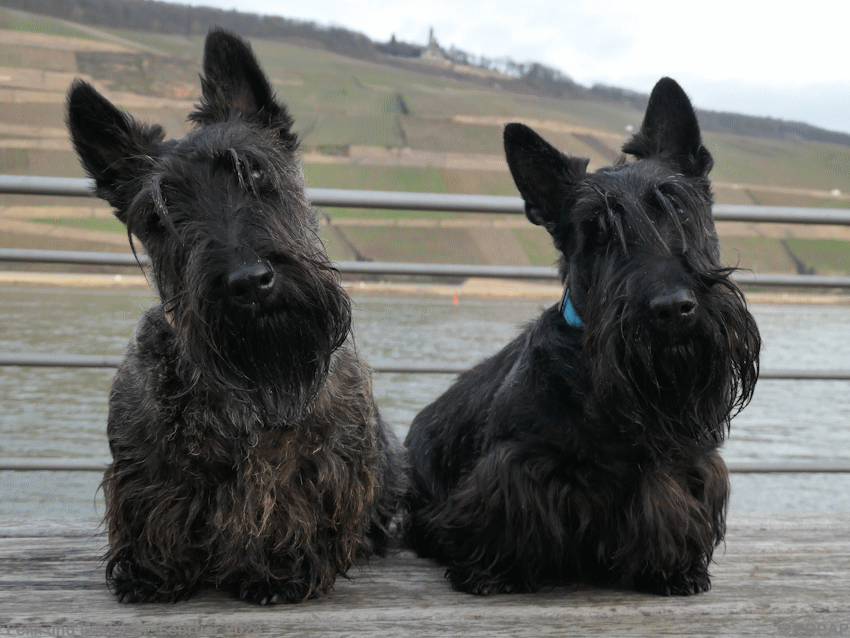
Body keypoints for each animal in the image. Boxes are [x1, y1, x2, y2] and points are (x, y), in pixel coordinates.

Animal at [66, 30, 404, 608]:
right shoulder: (146, 462)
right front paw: (153, 572)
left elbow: (293, 505)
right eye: (157, 215)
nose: (248, 281)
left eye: (256, 171)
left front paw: (281, 571)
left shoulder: (320, 461)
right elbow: (154, 506)